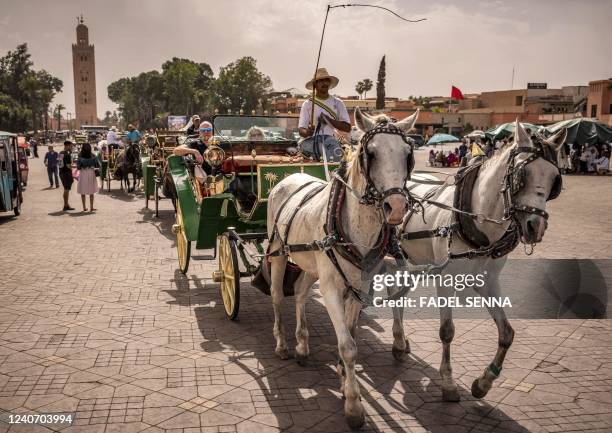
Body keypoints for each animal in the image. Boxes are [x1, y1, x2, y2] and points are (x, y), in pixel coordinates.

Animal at [268, 109, 420, 428]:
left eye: (407, 154)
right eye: (370, 153)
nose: (397, 207)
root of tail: (291, 176)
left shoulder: (358, 288)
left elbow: (351, 335)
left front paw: (343, 377)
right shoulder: (331, 290)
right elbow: (348, 346)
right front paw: (353, 406)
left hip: (311, 264)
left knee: (300, 293)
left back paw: (302, 346)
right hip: (278, 253)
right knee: (277, 296)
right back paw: (283, 345)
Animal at [396, 119, 564, 402]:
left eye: (554, 180)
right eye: (522, 176)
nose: (535, 227)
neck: (476, 219)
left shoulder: (488, 281)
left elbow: (507, 332)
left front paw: (484, 382)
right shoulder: (446, 279)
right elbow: (447, 331)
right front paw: (448, 382)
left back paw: (399, 342)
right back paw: (397, 340)